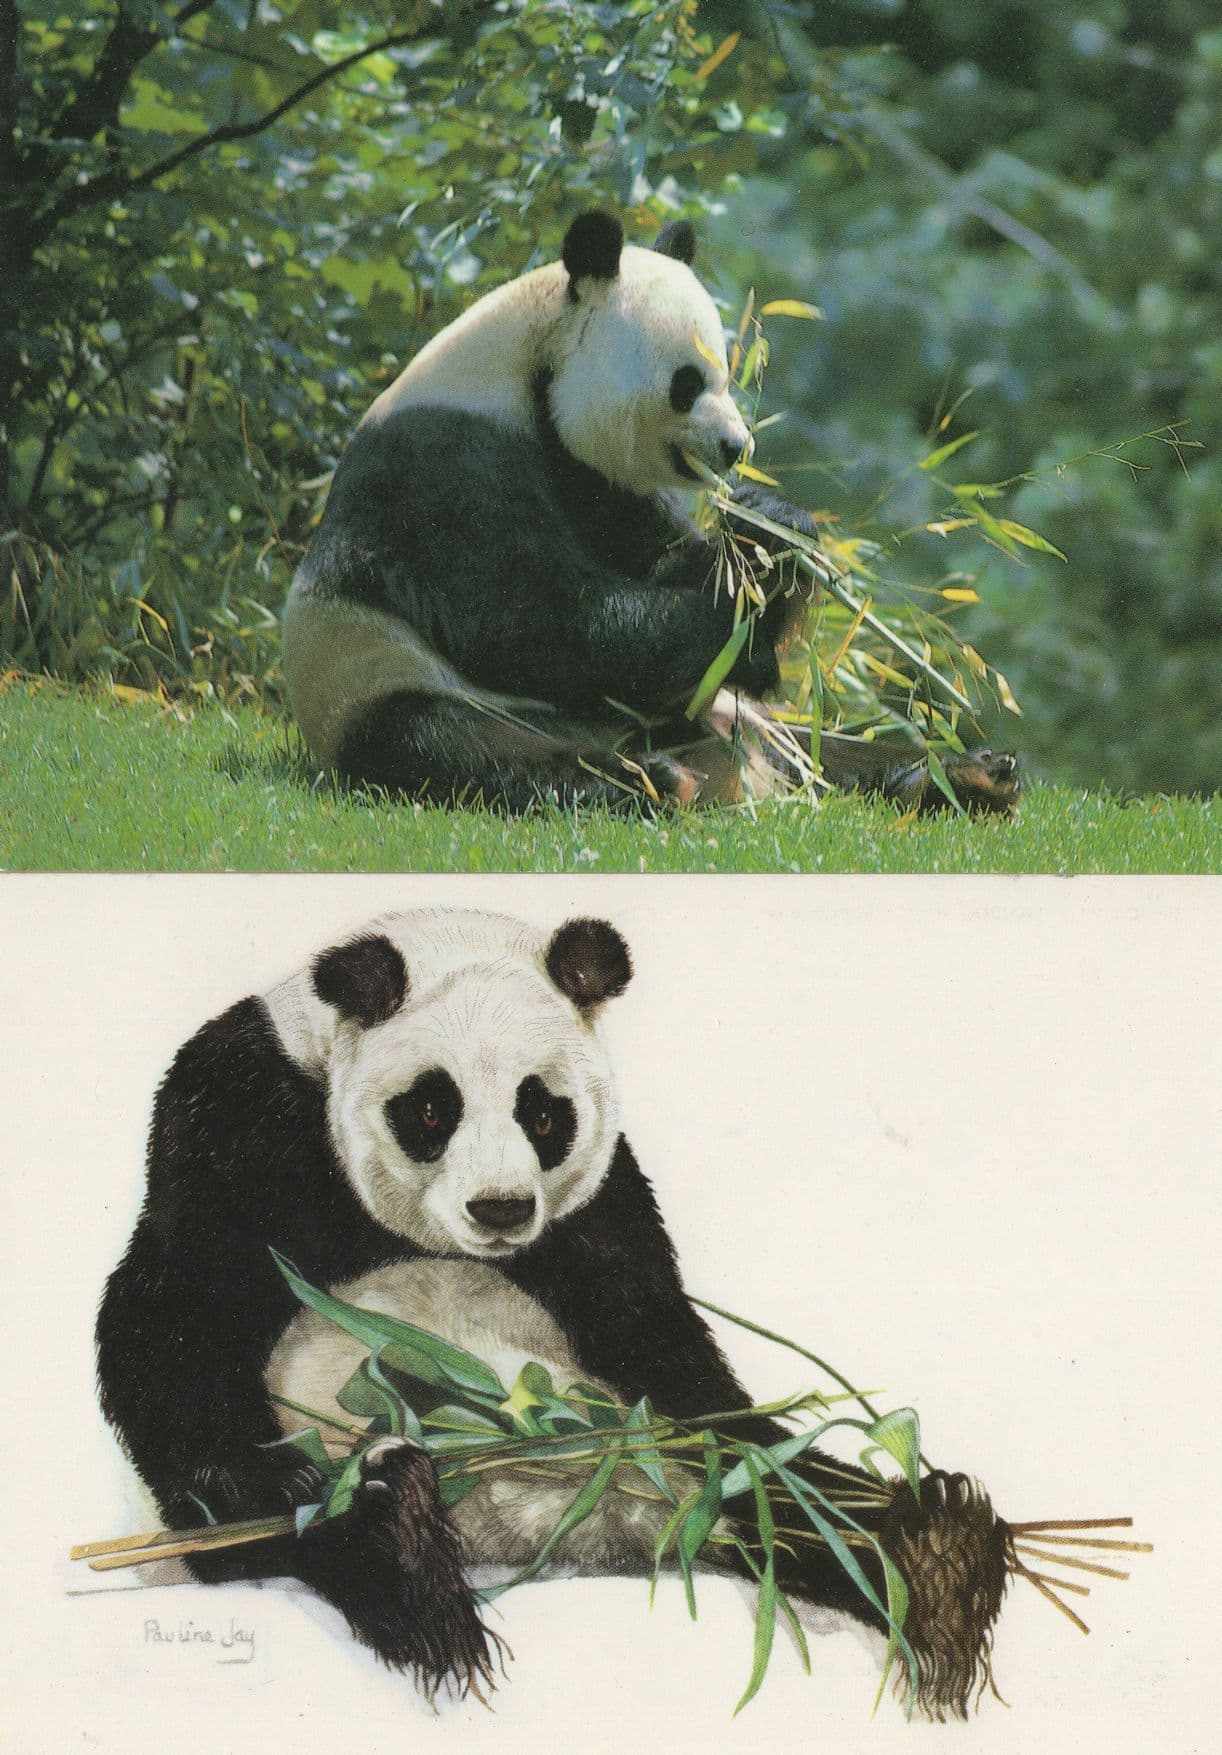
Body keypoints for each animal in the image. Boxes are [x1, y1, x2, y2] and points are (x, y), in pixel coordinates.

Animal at [96, 909, 1006, 1712]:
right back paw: (394, 1541)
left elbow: (668, 1355)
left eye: (542, 1111)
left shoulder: (597, 1209)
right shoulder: (235, 1121)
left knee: (767, 1498)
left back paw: (929, 1545)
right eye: (431, 1107)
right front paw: (295, 1491)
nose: (499, 1208)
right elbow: (171, 1322)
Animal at [283, 210, 1018, 814]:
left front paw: (768, 528)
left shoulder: (598, 482)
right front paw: (736, 629)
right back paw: (647, 780)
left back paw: (964, 774)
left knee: (829, 752)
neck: (524, 371)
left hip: (746, 723)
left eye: (726, 371)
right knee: (453, 741)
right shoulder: (442, 462)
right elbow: (531, 618)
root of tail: (735, 771)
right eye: (688, 383)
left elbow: (666, 560)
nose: (736, 447)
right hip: (380, 682)